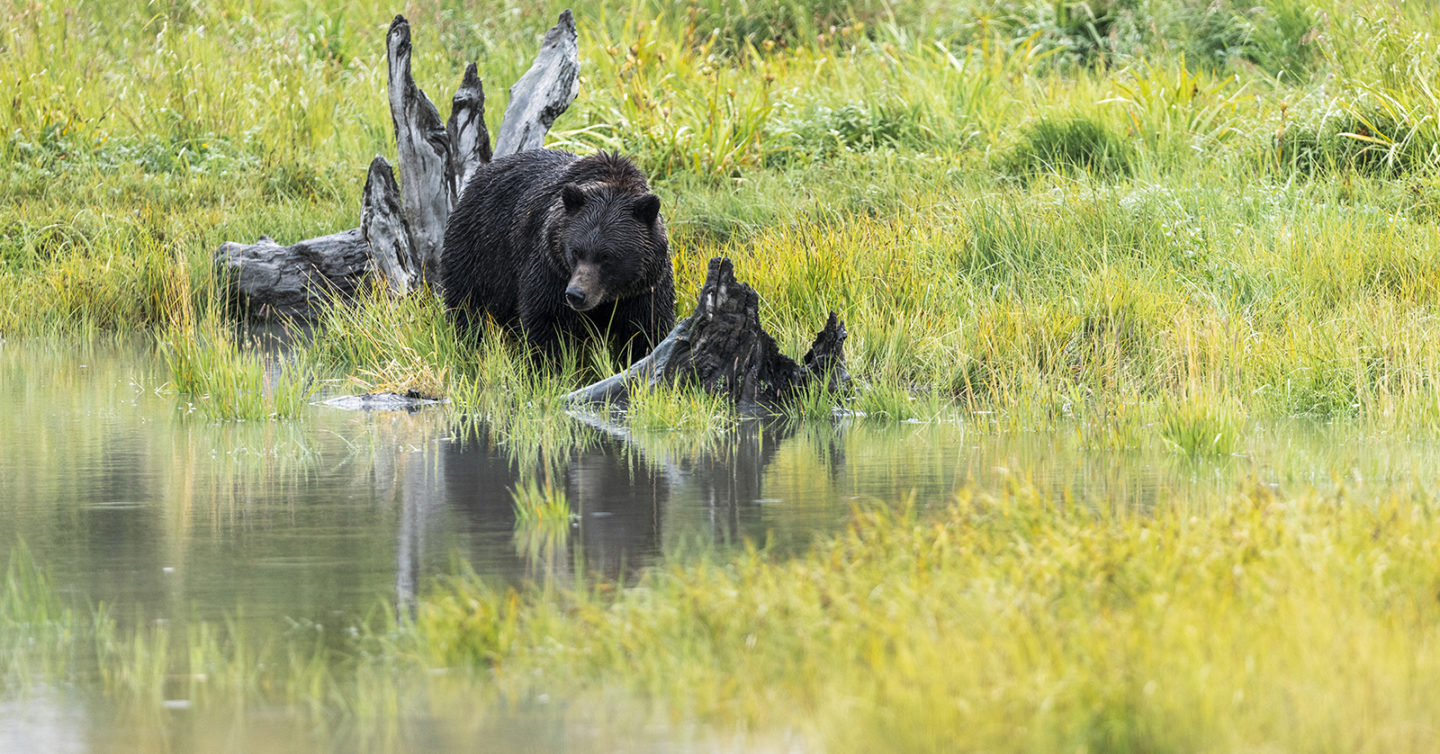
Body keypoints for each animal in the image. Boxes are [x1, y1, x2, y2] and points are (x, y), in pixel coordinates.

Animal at [437, 148, 673, 365]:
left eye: (607, 256)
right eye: (576, 251)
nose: (576, 294)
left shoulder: (644, 288)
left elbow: (646, 329)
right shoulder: (551, 270)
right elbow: (549, 323)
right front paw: (549, 370)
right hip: (482, 251)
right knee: (468, 305)